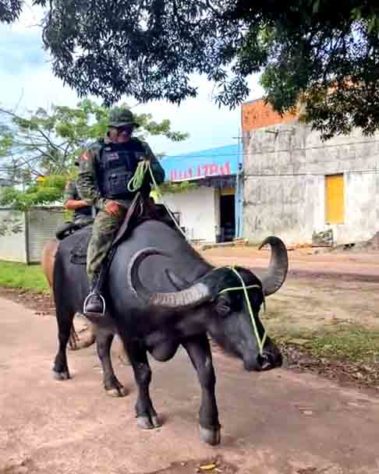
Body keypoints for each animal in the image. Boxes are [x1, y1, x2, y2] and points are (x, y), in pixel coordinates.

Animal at [51, 218, 288, 444]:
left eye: (257, 303)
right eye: (224, 306)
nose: (268, 357)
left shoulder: (193, 334)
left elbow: (207, 374)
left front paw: (210, 425)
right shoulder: (131, 337)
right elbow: (143, 374)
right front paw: (145, 413)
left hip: (103, 322)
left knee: (102, 348)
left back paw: (112, 385)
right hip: (62, 305)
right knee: (62, 336)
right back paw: (60, 370)